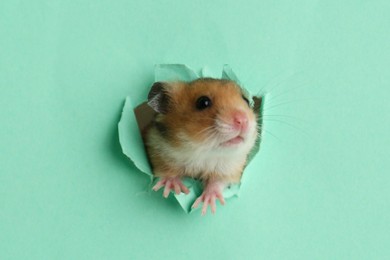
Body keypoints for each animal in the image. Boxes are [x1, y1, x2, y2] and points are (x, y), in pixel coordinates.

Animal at [143, 77, 258, 215]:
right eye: (203, 102)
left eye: (246, 100)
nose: (243, 120)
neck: (203, 151)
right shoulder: (157, 148)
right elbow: (167, 172)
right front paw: (175, 188)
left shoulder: (230, 168)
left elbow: (217, 182)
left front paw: (206, 204)